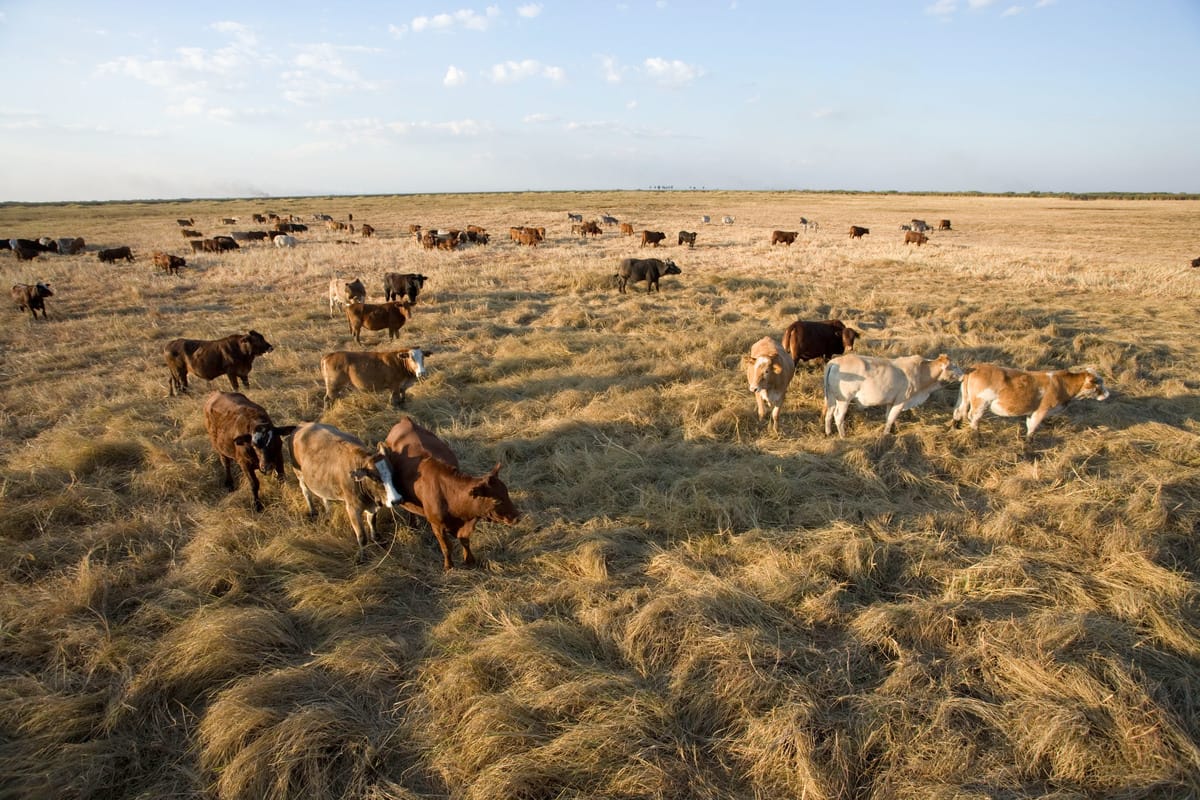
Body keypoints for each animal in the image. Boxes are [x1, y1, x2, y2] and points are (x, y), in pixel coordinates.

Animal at [288, 422, 405, 557]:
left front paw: (377, 539)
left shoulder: (372, 505)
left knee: (324, 497)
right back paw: (313, 512)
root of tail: (302, 425)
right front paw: (362, 556)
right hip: (299, 474)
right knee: (306, 492)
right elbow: (362, 536)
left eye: (393, 473)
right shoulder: (352, 508)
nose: (397, 500)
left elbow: (373, 522)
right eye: (376, 479)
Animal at [383, 416, 520, 570]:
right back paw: (413, 525)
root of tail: (405, 420)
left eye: (507, 493)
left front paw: (470, 560)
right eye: (496, 500)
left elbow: (465, 541)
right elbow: (446, 548)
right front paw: (449, 566)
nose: (517, 517)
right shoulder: (437, 526)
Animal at [823, 353, 963, 437]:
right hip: (844, 400)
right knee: (838, 416)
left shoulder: (891, 402)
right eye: (954, 366)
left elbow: (888, 417)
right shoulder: (901, 401)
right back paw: (843, 436)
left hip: (831, 398)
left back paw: (828, 432)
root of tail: (834, 361)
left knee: (829, 414)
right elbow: (891, 418)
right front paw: (886, 435)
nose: (963, 374)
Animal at [951, 364, 1109, 441]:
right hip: (980, 403)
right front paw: (1028, 442)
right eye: (1098, 382)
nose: (1107, 394)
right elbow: (1033, 427)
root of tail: (976, 367)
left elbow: (1029, 424)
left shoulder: (1032, 411)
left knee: (958, 411)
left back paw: (956, 427)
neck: (1062, 384)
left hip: (964, 397)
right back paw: (977, 437)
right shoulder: (1042, 410)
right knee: (973, 418)